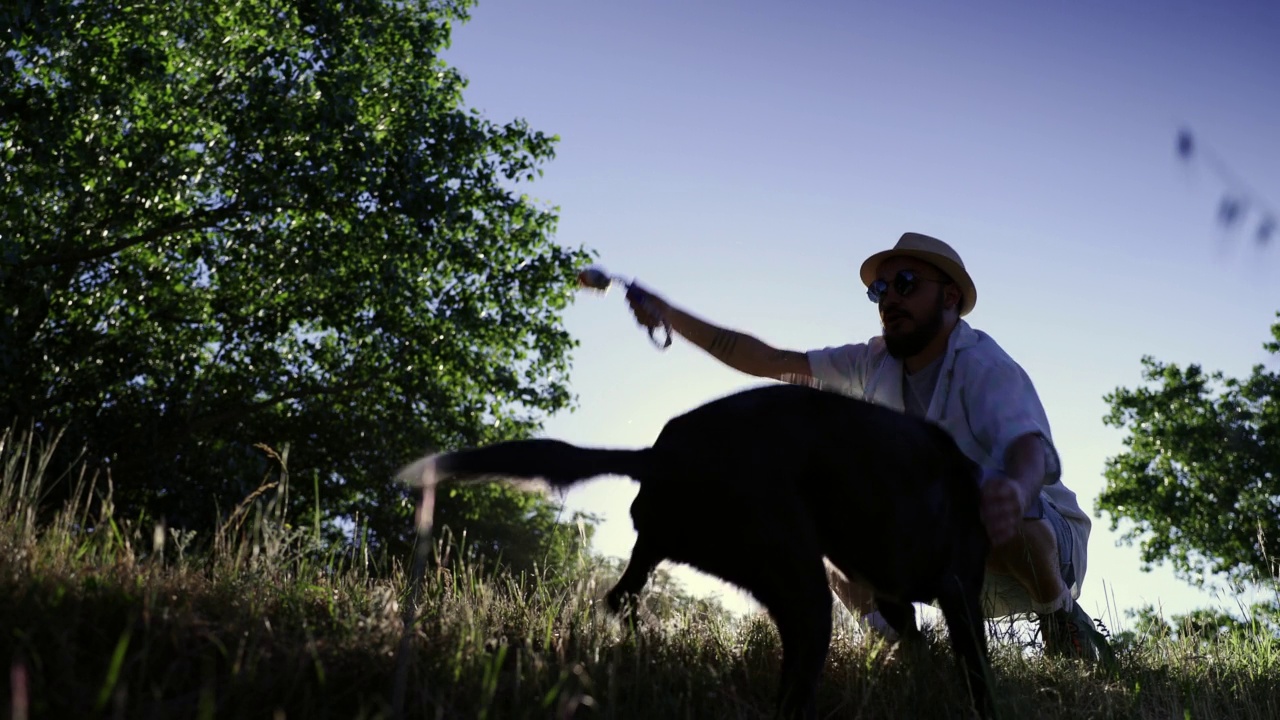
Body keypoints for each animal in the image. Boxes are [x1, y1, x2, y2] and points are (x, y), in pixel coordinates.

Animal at [394, 384, 993, 712]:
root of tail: (658, 455)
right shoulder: (959, 591)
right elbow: (977, 673)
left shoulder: (901, 594)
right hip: (801, 586)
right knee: (796, 678)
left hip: (665, 548)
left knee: (620, 598)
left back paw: (639, 645)